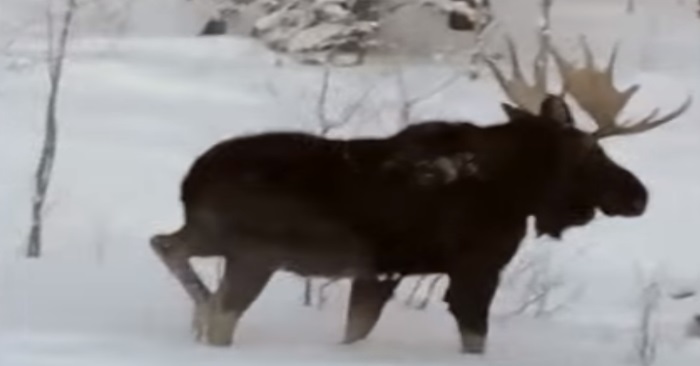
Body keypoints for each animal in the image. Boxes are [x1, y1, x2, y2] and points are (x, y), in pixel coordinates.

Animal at [150, 38, 692, 354]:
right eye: (592, 152)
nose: (638, 195)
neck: (517, 190)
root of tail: (190, 180)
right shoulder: (476, 266)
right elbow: (474, 338)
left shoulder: (378, 273)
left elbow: (354, 331)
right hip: (254, 253)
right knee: (220, 309)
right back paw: (205, 318)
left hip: (212, 237)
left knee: (165, 244)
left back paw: (196, 313)